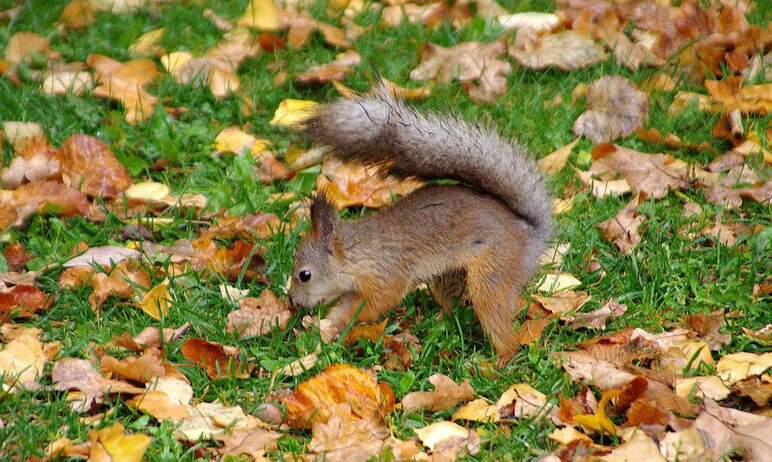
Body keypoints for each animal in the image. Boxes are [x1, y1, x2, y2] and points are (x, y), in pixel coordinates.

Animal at [286, 86, 552, 364]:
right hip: (448, 277)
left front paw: (337, 322)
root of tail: (530, 232)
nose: (292, 301)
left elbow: (375, 304)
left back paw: (499, 360)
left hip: (493, 275)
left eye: (305, 275)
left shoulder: (387, 275)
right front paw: (324, 326)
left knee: (503, 330)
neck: (357, 253)